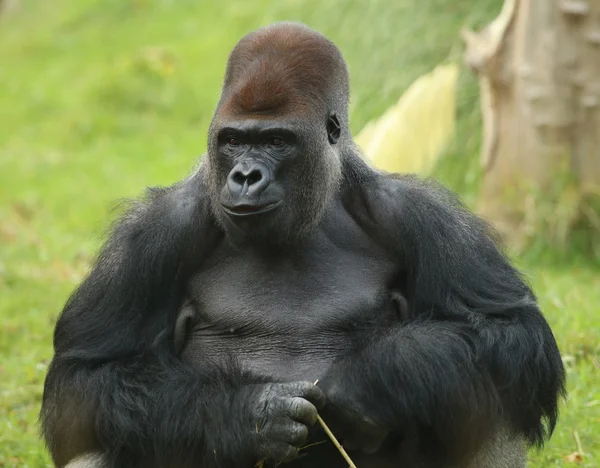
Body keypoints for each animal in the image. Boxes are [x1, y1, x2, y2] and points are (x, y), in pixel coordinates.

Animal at [39, 21, 564, 468]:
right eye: (233, 140)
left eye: (276, 141)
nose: (245, 176)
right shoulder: (154, 232)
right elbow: (84, 381)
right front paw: (247, 414)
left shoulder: (419, 212)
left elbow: (512, 333)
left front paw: (368, 384)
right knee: (96, 431)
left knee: (494, 388)